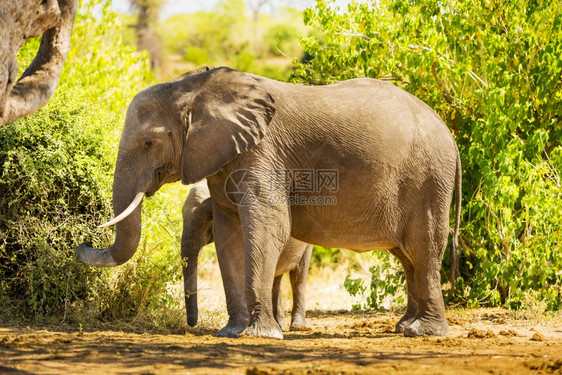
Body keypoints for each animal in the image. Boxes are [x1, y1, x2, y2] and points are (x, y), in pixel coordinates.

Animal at [180, 179, 308, 332]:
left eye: (210, 217)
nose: (192, 324)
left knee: (298, 276)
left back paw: (297, 327)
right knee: (276, 278)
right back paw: (279, 325)